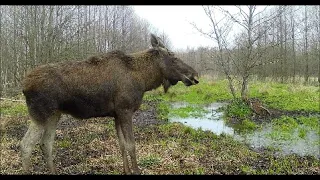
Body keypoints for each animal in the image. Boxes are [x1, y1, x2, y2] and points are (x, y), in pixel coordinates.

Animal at [20, 33, 199, 174]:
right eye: (173, 57)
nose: (195, 75)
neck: (144, 80)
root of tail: (24, 85)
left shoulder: (117, 114)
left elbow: (121, 145)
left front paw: (126, 170)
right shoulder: (126, 110)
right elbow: (131, 145)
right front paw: (136, 171)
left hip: (54, 114)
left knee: (46, 143)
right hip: (40, 114)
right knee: (26, 145)